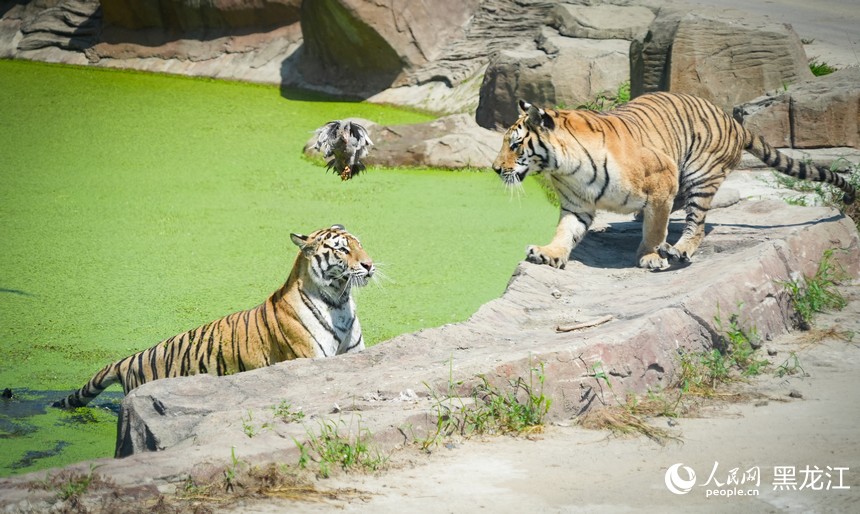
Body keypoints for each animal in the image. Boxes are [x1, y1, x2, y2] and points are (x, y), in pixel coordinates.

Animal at [54, 224, 374, 409]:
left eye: (360, 244)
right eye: (342, 250)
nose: (370, 265)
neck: (339, 301)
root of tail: (130, 358)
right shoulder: (310, 357)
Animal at [492, 92, 856, 269]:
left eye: (515, 144)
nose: (495, 169)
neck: (565, 167)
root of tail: (735, 122)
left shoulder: (661, 179)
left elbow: (657, 227)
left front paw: (651, 256)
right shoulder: (576, 204)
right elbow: (565, 232)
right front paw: (548, 253)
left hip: (700, 174)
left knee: (697, 224)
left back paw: (678, 250)